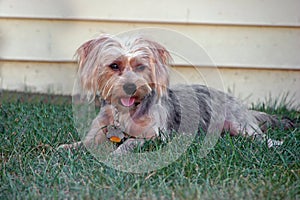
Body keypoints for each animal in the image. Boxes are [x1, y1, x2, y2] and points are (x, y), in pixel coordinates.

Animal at [59, 34, 294, 153]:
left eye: (140, 66)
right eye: (114, 66)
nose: (130, 87)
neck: (125, 113)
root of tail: (244, 106)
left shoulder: (154, 136)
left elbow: (129, 143)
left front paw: (117, 154)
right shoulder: (97, 132)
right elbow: (84, 143)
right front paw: (65, 147)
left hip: (241, 125)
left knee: (262, 137)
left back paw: (275, 144)